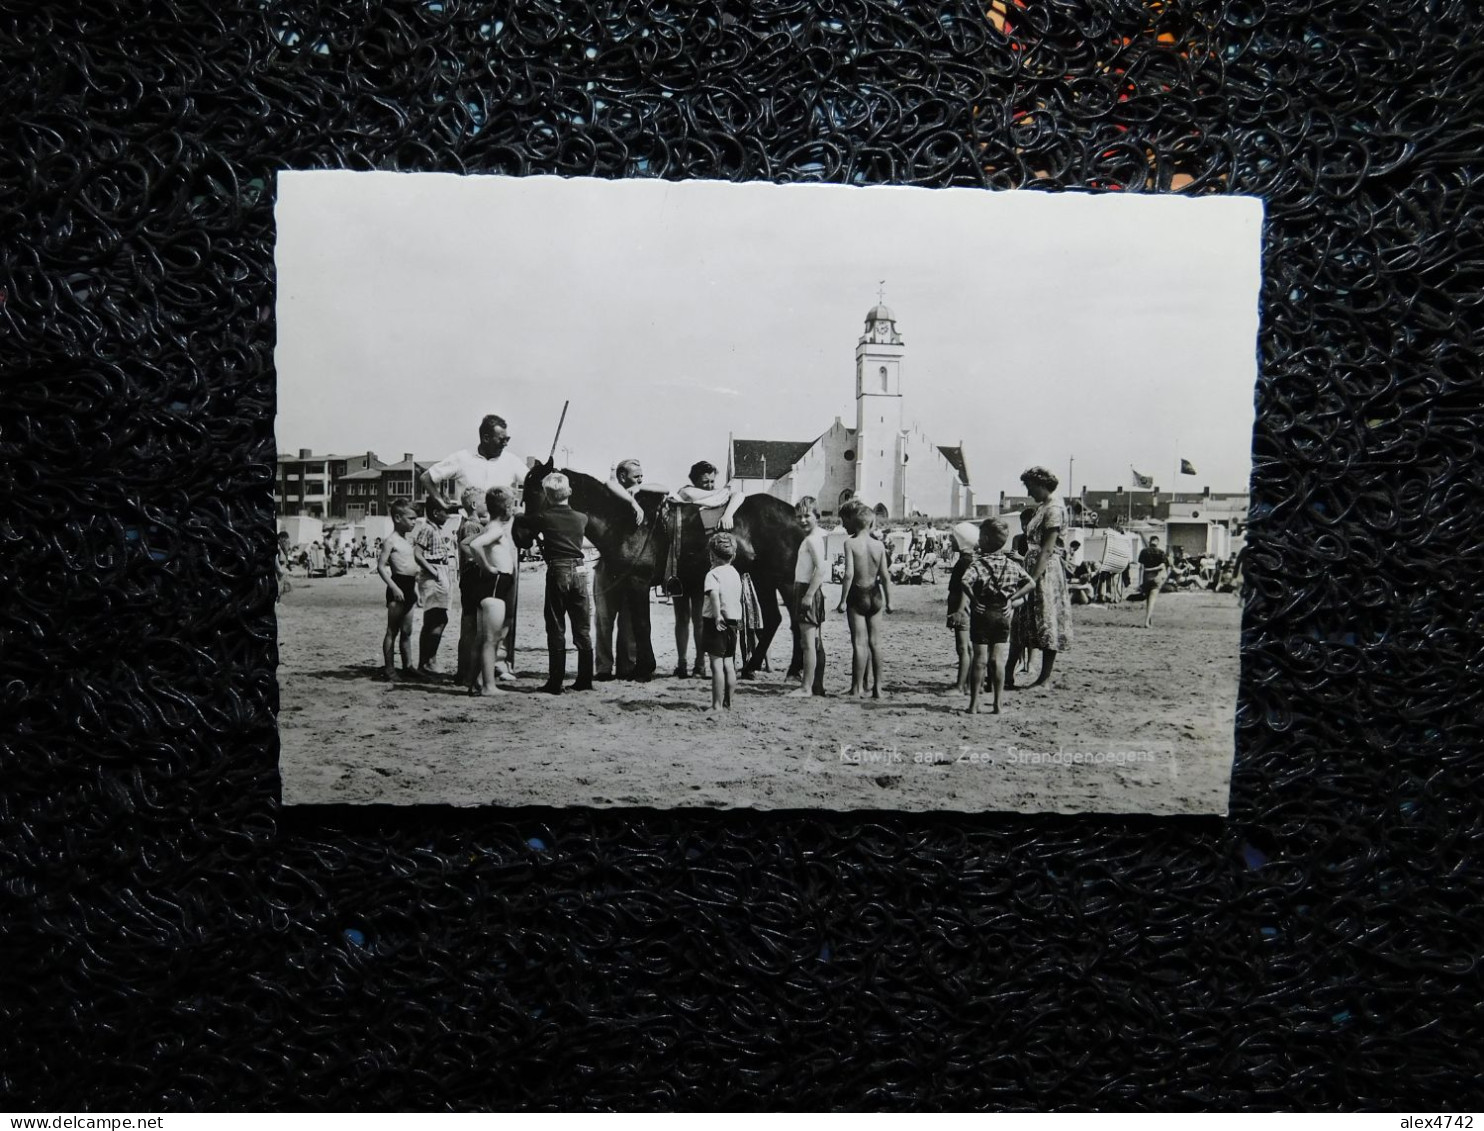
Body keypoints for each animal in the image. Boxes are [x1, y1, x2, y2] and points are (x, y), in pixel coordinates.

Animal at [516, 460, 807, 673]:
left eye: (533, 489)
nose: (521, 534)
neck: (626, 521)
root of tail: (795, 514)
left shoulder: (639, 581)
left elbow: (642, 624)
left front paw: (645, 668)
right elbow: (633, 624)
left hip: (783, 578)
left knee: (796, 619)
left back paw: (795, 668)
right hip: (762, 577)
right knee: (775, 619)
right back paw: (752, 667)